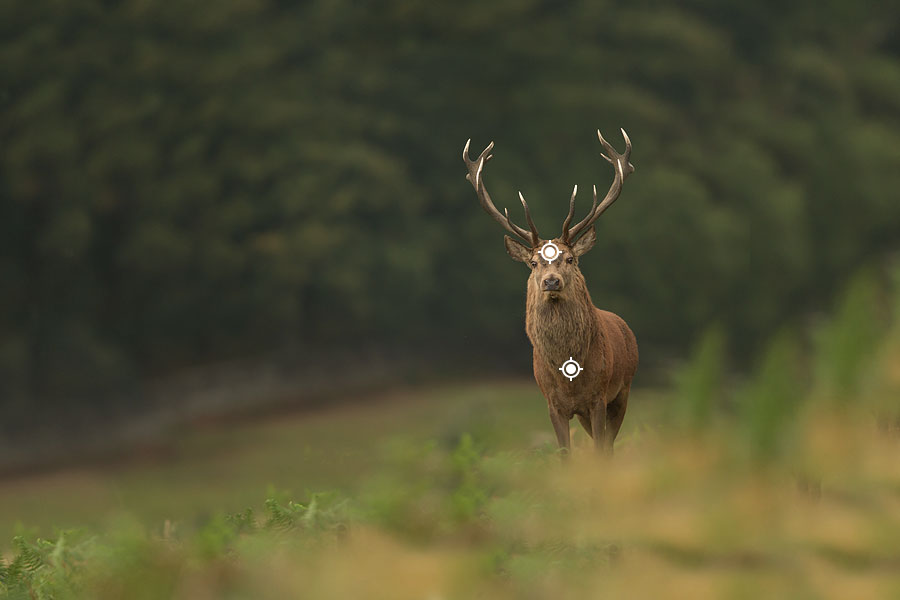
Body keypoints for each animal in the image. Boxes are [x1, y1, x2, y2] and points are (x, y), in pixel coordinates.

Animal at [462, 129, 638, 455]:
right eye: (533, 263)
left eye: (569, 259)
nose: (551, 282)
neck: (569, 379)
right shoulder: (553, 405)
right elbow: (564, 454)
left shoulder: (598, 398)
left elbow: (599, 452)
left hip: (624, 389)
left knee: (608, 445)